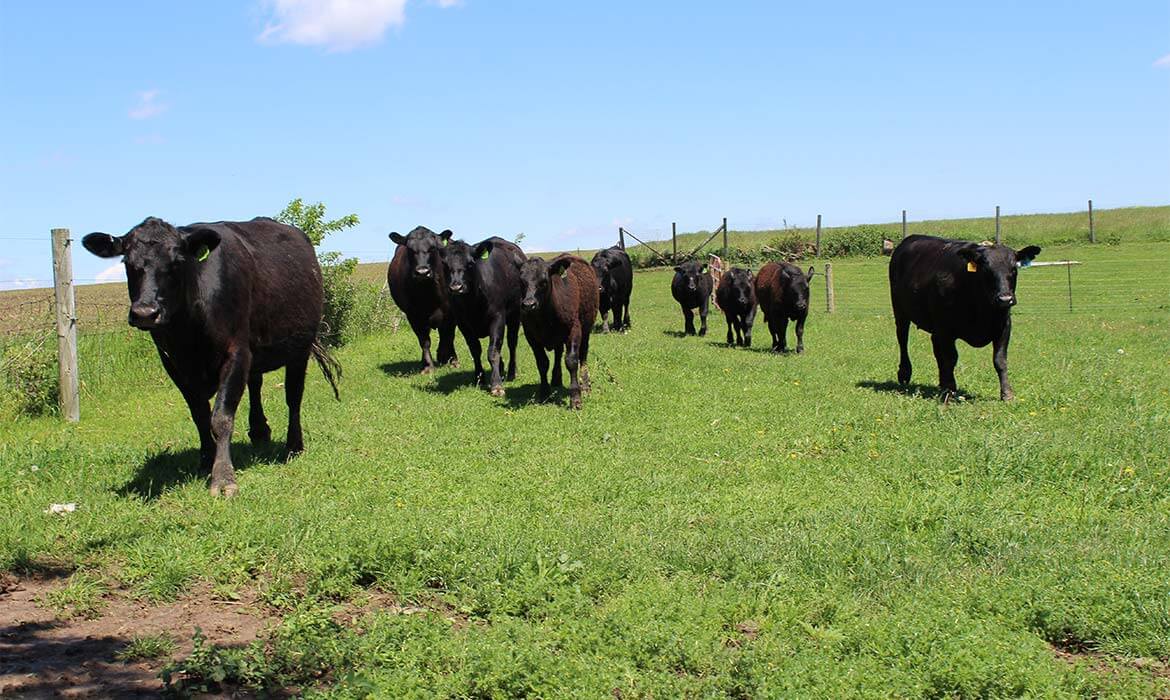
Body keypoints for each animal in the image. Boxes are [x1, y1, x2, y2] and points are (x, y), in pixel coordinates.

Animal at [80, 216, 339, 496]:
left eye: (177, 262)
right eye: (127, 262)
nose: (145, 313)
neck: (189, 332)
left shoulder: (236, 352)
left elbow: (221, 417)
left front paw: (223, 477)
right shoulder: (173, 363)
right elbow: (200, 416)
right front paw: (206, 460)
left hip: (299, 348)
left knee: (293, 396)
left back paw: (293, 445)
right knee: (255, 384)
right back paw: (259, 431)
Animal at [386, 228, 453, 376]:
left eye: (432, 248)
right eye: (410, 249)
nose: (422, 272)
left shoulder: (450, 312)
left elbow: (447, 336)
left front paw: (450, 360)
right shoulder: (413, 315)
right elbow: (424, 341)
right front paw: (428, 366)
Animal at [439, 237, 528, 397]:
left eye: (470, 263)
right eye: (445, 264)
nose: (456, 287)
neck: (473, 302)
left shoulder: (497, 318)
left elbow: (492, 351)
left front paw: (496, 385)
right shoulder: (463, 324)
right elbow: (476, 350)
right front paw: (479, 378)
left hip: (515, 316)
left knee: (512, 343)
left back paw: (512, 372)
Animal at [519, 256, 599, 412]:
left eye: (544, 281)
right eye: (521, 281)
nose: (529, 304)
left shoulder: (574, 330)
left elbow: (571, 361)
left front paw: (576, 398)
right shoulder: (531, 337)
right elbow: (542, 363)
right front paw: (544, 393)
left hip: (586, 329)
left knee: (583, 356)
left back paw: (585, 385)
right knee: (558, 353)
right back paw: (556, 379)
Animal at [884, 234, 1043, 400]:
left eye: (1014, 269)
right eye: (986, 269)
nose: (1005, 299)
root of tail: (910, 238)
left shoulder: (1004, 326)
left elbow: (1000, 360)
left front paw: (1007, 394)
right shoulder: (946, 329)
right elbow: (950, 359)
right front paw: (950, 391)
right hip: (900, 312)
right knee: (903, 339)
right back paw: (905, 374)